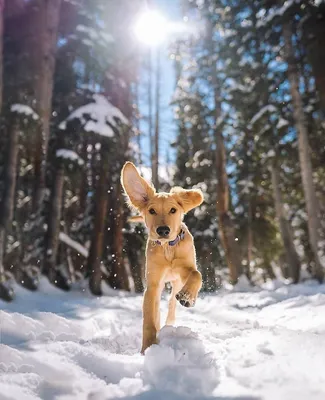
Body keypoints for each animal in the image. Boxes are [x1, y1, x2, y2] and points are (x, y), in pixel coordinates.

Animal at [120, 162, 204, 354]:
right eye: (151, 210)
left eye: (173, 210)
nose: (163, 230)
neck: (168, 248)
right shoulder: (153, 284)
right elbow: (150, 319)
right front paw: (148, 348)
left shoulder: (184, 270)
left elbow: (196, 274)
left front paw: (188, 296)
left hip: (176, 283)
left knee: (172, 304)